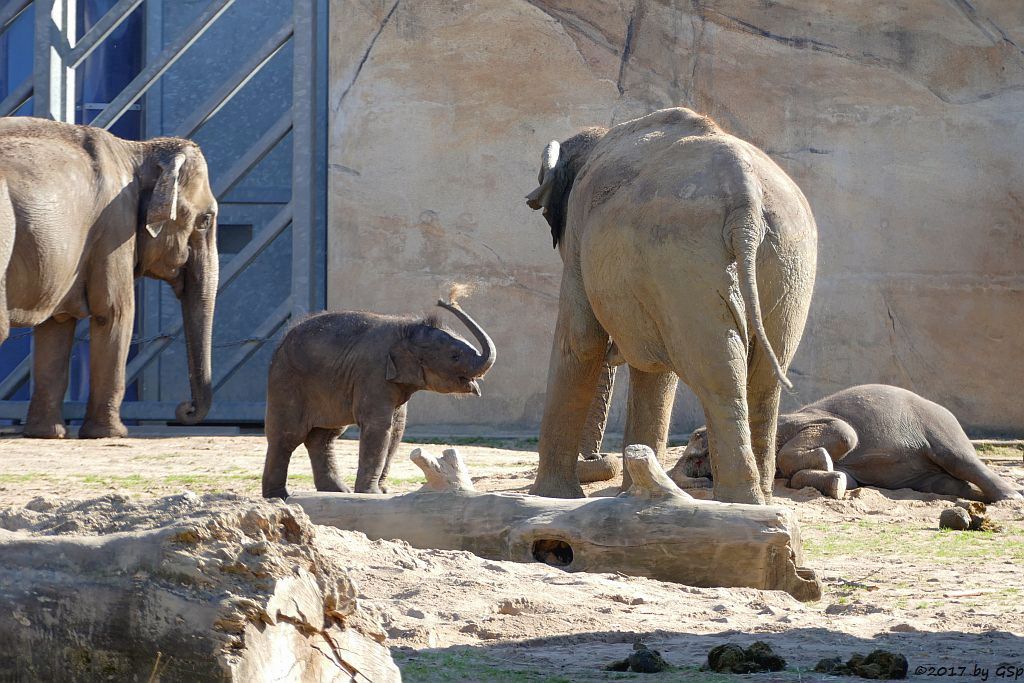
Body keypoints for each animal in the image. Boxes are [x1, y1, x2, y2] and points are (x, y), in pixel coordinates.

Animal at [0, 117, 220, 438]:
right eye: (205, 220)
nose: (185, 409)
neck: (137, 150)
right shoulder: (114, 225)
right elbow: (116, 311)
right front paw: (112, 434)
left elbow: (58, 325)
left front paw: (47, 434)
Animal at [264, 301, 495, 499]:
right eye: (455, 356)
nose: (444, 301)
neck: (407, 329)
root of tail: (280, 343)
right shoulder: (373, 372)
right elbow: (379, 426)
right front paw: (371, 493)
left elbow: (397, 428)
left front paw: (382, 492)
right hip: (287, 382)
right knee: (288, 436)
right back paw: (278, 496)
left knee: (324, 437)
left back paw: (338, 491)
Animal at [671, 385, 1024, 501]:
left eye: (696, 457)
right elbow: (846, 477)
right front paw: (837, 481)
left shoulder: (797, 422)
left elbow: (844, 432)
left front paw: (824, 461)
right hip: (927, 473)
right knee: (944, 483)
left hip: (940, 426)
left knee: (960, 459)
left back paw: (1009, 499)